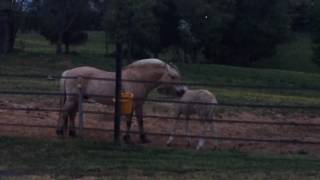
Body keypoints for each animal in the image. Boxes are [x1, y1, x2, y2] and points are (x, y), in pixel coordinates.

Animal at [55, 59, 185, 143]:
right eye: (173, 77)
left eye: (179, 76)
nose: (181, 91)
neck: (137, 78)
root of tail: (68, 72)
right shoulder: (132, 104)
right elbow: (129, 121)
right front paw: (126, 138)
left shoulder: (139, 105)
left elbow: (140, 120)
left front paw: (144, 138)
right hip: (72, 99)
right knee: (64, 112)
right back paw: (60, 132)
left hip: (77, 100)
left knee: (71, 114)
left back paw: (72, 133)